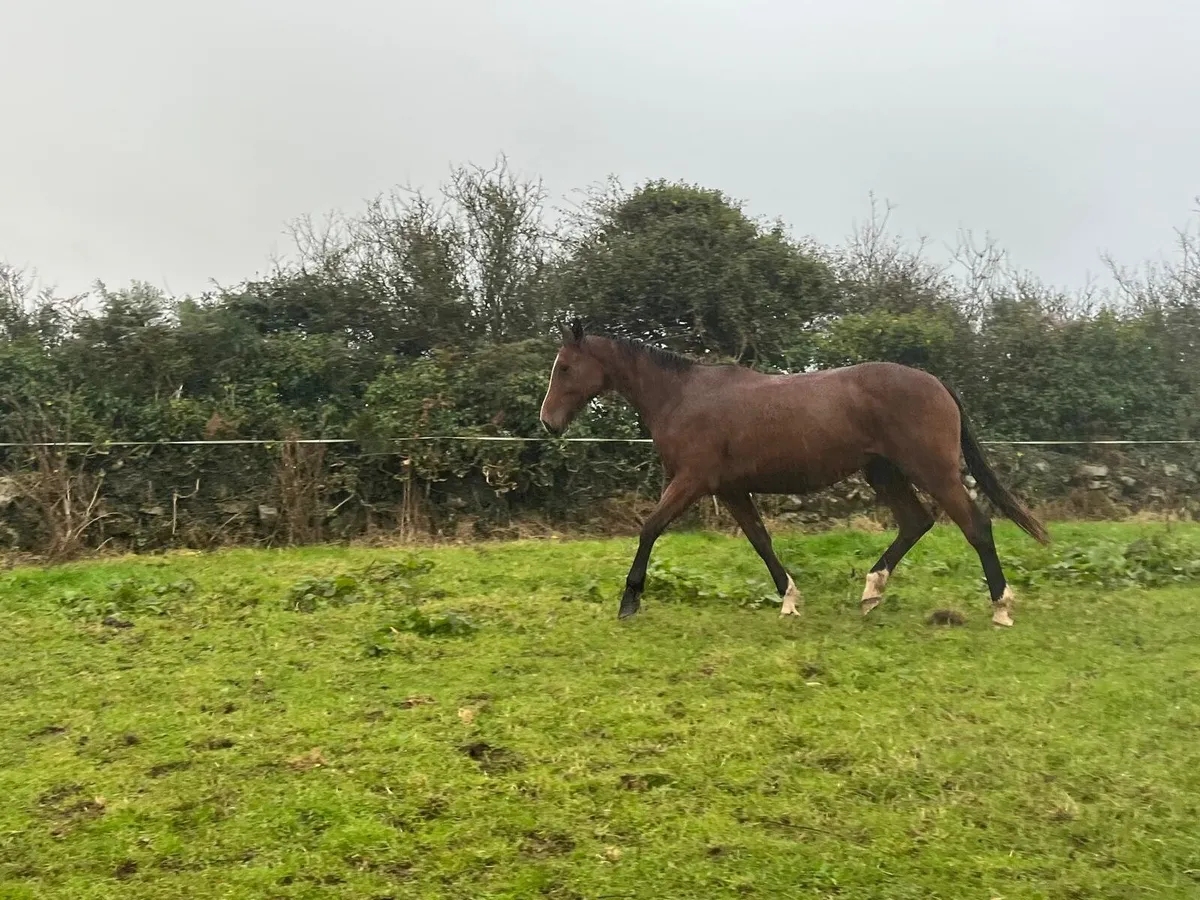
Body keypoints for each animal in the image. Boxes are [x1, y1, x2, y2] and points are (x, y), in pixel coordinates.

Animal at [538, 320, 1049, 626]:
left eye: (564, 367)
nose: (547, 422)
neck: (682, 397)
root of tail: (938, 383)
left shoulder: (691, 482)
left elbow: (649, 529)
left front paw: (629, 601)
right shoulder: (731, 490)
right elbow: (761, 541)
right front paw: (789, 599)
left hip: (933, 470)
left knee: (975, 525)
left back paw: (1001, 607)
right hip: (883, 472)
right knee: (915, 522)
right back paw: (871, 592)